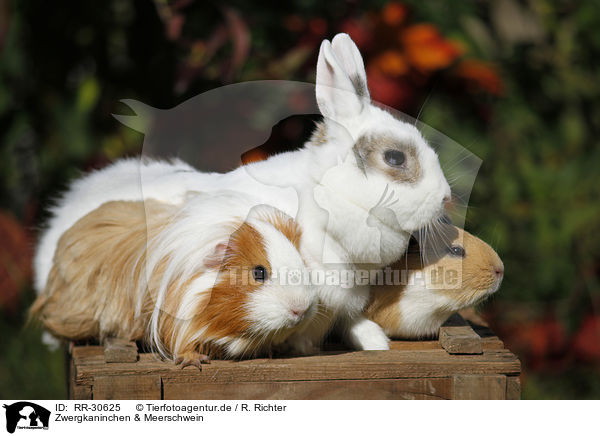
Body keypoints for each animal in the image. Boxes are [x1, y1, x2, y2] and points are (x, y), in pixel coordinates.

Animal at [34, 35, 450, 354]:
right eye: (394, 158)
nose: (446, 197)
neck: (323, 196)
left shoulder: (343, 303)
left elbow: (354, 323)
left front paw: (376, 343)